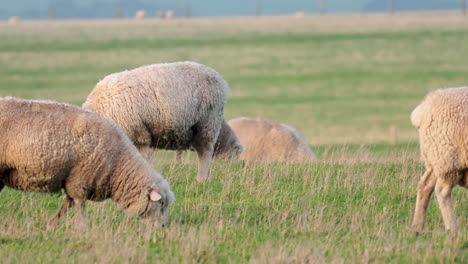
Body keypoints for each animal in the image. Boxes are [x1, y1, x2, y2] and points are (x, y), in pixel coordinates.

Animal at [0, 98, 175, 230]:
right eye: (161, 204)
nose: (164, 226)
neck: (118, 165)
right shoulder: (79, 179)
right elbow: (79, 203)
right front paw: (83, 226)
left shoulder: (73, 179)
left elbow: (68, 203)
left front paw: (52, 224)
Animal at [412, 86, 468, 231]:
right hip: (449, 159)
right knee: (442, 191)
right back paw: (453, 229)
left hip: (436, 160)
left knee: (425, 185)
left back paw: (417, 227)